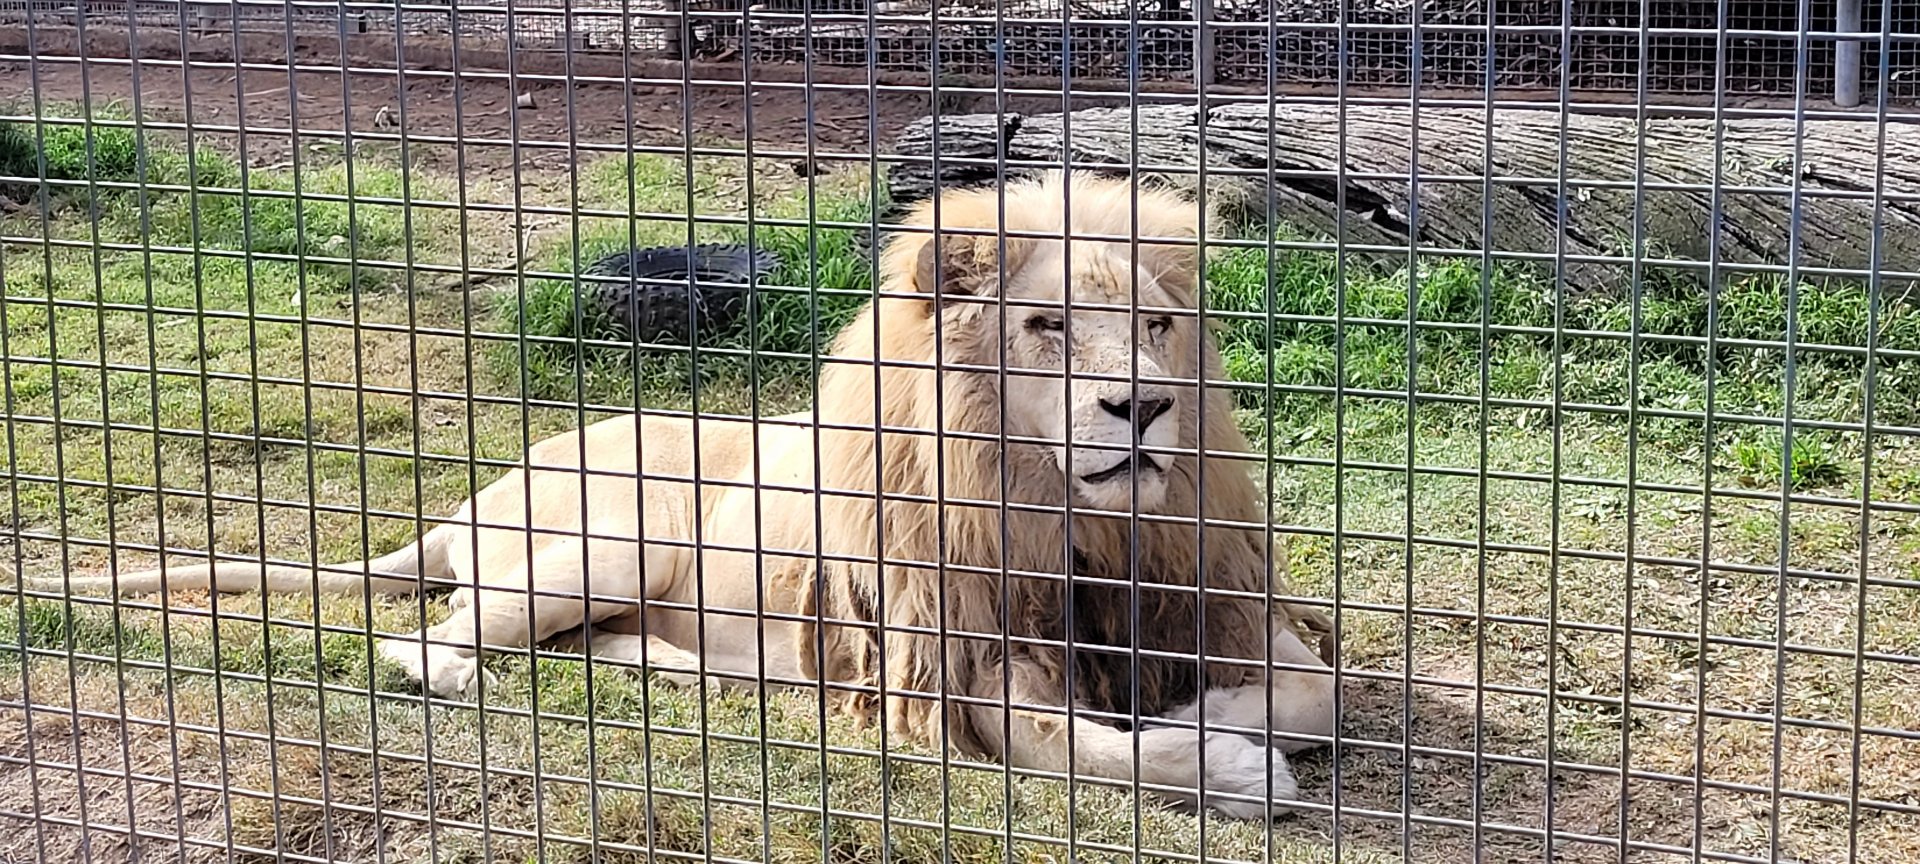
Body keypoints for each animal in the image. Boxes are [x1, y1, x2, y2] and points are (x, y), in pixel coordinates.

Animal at [45, 171, 1337, 818]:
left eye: (1158, 328)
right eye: (1048, 327)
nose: (1145, 409)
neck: (1066, 513)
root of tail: (466, 503)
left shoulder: (1213, 603)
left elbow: (1316, 693)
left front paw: (1216, 716)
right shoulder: (948, 665)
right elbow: (1089, 756)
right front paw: (1227, 767)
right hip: (608, 544)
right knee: (428, 637)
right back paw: (469, 672)